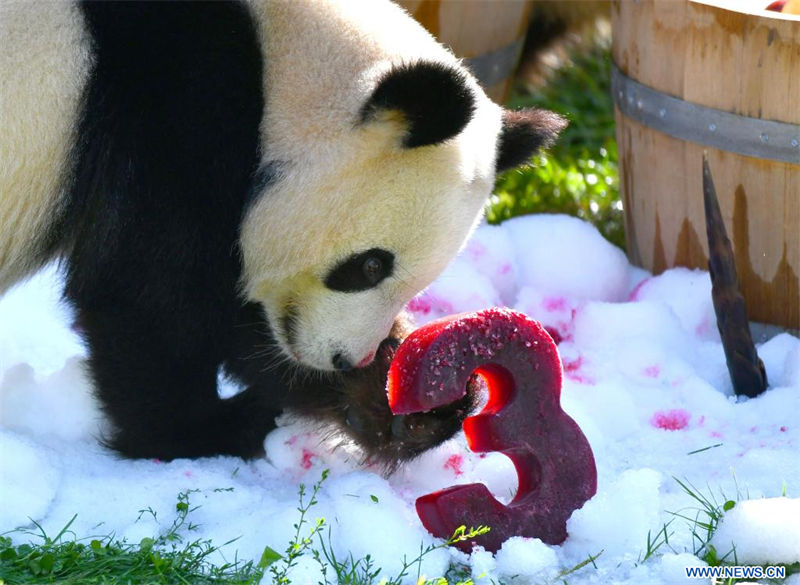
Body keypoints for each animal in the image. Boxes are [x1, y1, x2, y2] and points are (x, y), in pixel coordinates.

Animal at [0, 0, 564, 466]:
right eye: (370, 266)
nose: (346, 358)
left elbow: (243, 319)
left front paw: (405, 401)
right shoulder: (172, 109)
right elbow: (148, 293)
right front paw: (201, 431)